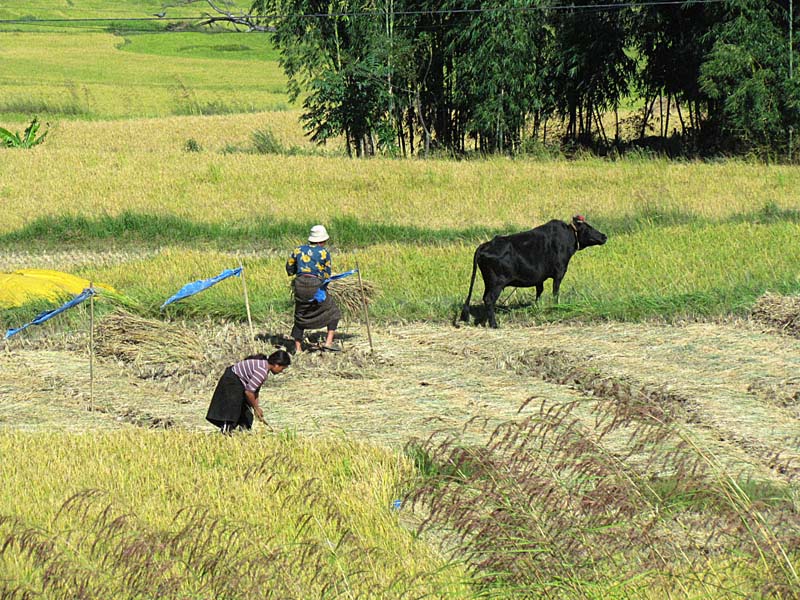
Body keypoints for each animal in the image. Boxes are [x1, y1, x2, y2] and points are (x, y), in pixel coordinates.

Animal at [462, 216, 608, 328]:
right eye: (588, 228)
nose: (604, 236)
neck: (568, 238)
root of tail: (485, 245)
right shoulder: (559, 273)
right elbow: (555, 292)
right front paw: (556, 307)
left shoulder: (539, 279)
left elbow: (539, 292)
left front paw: (538, 308)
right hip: (497, 283)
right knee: (489, 299)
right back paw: (494, 324)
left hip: (489, 282)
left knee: (485, 298)